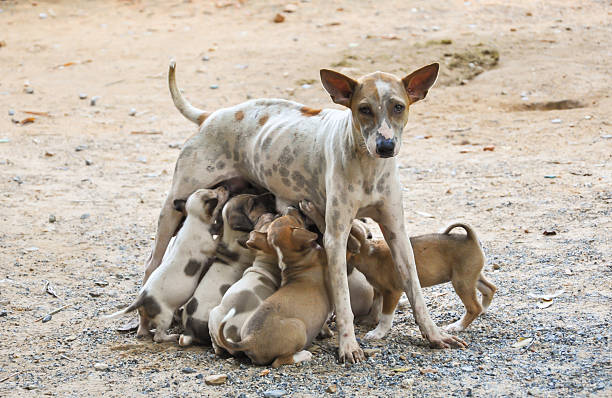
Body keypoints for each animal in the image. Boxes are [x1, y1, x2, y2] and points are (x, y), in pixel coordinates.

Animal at [105, 187, 230, 342]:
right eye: (216, 195)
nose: (224, 188)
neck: (193, 220)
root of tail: (141, 299)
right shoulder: (211, 246)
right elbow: (218, 238)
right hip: (165, 317)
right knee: (158, 337)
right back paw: (172, 336)